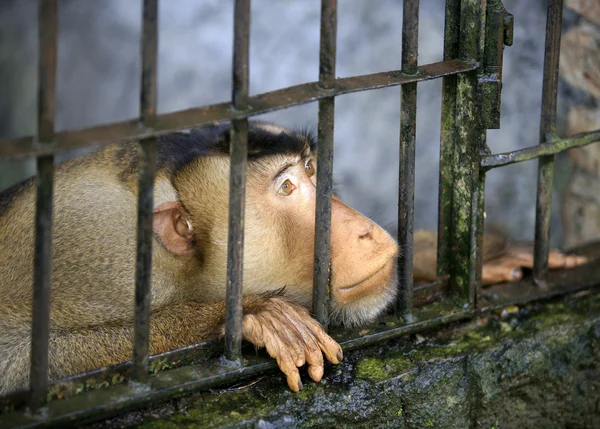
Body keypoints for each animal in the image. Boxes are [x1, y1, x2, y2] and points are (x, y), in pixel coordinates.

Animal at [0, 120, 584, 394]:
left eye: (310, 169)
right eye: (285, 188)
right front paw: (252, 312)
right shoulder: (90, 242)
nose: (366, 231)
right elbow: (17, 357)